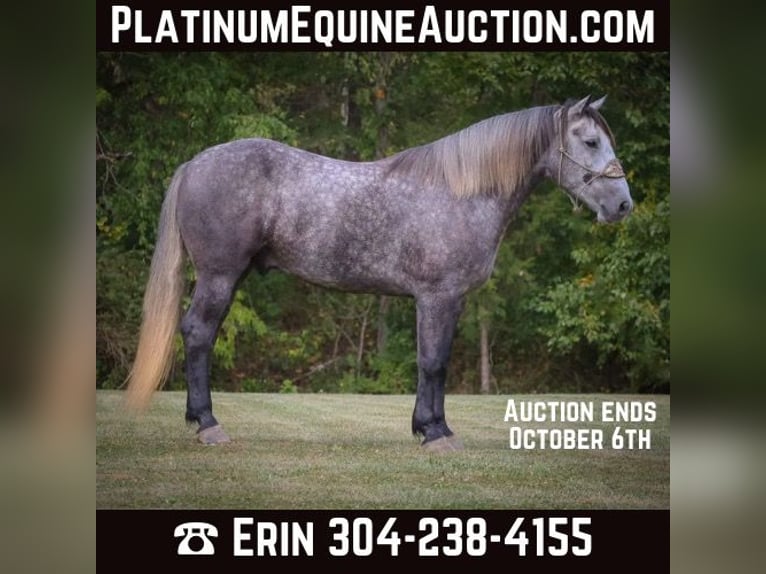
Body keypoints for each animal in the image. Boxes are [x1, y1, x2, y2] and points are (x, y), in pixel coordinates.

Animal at [124, 95, 632, 451]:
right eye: (590, 141)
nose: (623, 206)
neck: (461, 192)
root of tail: (194, 164)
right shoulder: (436, 296)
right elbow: (433, 362)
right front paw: (435, 434)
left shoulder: (451, 300)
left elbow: (437, 362)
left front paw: (431, 427)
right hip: (219, 275)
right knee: (198, 334)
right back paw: (207, 425)